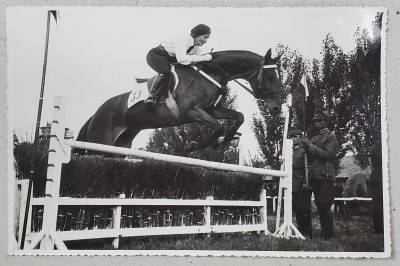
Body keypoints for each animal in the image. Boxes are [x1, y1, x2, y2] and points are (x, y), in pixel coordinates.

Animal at [75, 48, 282, 154]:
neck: (211, 73)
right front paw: (193, 145)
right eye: (271, 76)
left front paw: (225, 140)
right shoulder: (191, 112)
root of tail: (96, 113)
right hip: (100, 142)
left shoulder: (212, 110)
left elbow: (239, 117)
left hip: (123, 144)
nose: (277, 108)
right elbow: (218, 127)